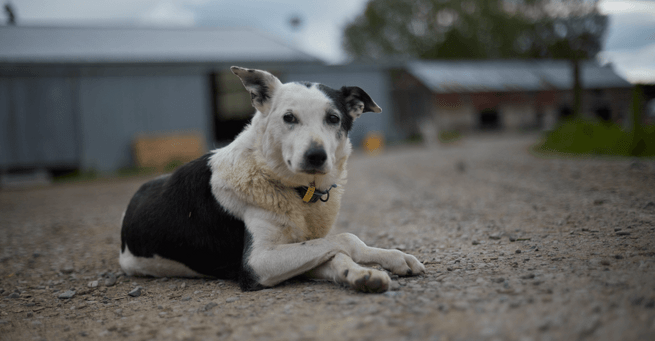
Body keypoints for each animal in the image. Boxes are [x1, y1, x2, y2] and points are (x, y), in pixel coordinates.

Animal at [119, 66, 426, 292]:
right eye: (289, 117)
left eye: (333, 118)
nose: (316, 156)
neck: (298, 190)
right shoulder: (257, 264)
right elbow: (346, 239)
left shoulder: (301, 250)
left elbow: (335, 252)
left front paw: (375, 267)